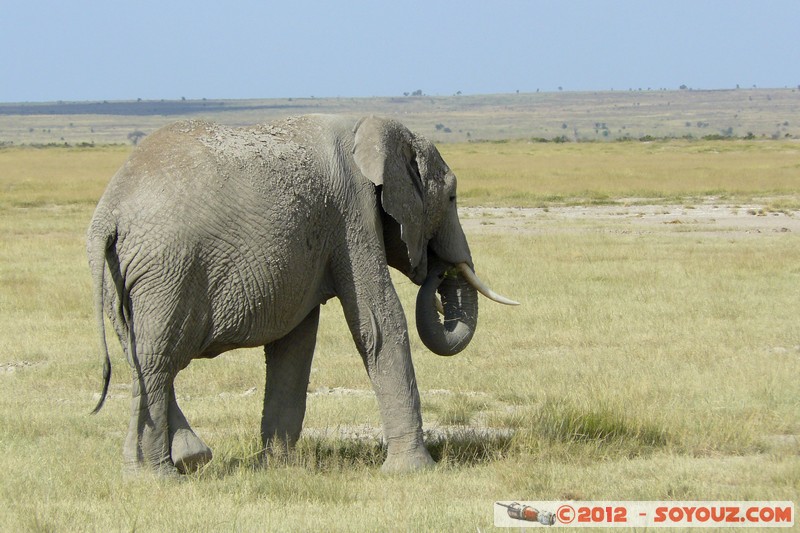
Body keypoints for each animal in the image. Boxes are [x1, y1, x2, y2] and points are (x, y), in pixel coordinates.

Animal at [87, 114, 517, 476]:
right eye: (452, 198)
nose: (437, 266)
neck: (370, 129)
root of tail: (109, 215)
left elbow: (294, 345)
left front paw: (277, 467)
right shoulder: (352, 214)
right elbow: (379, 323)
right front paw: (412, 472)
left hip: (123, 279)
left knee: (140, 359)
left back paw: (182, 461)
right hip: (166, 272)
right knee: (157, 361)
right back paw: (158, 476)